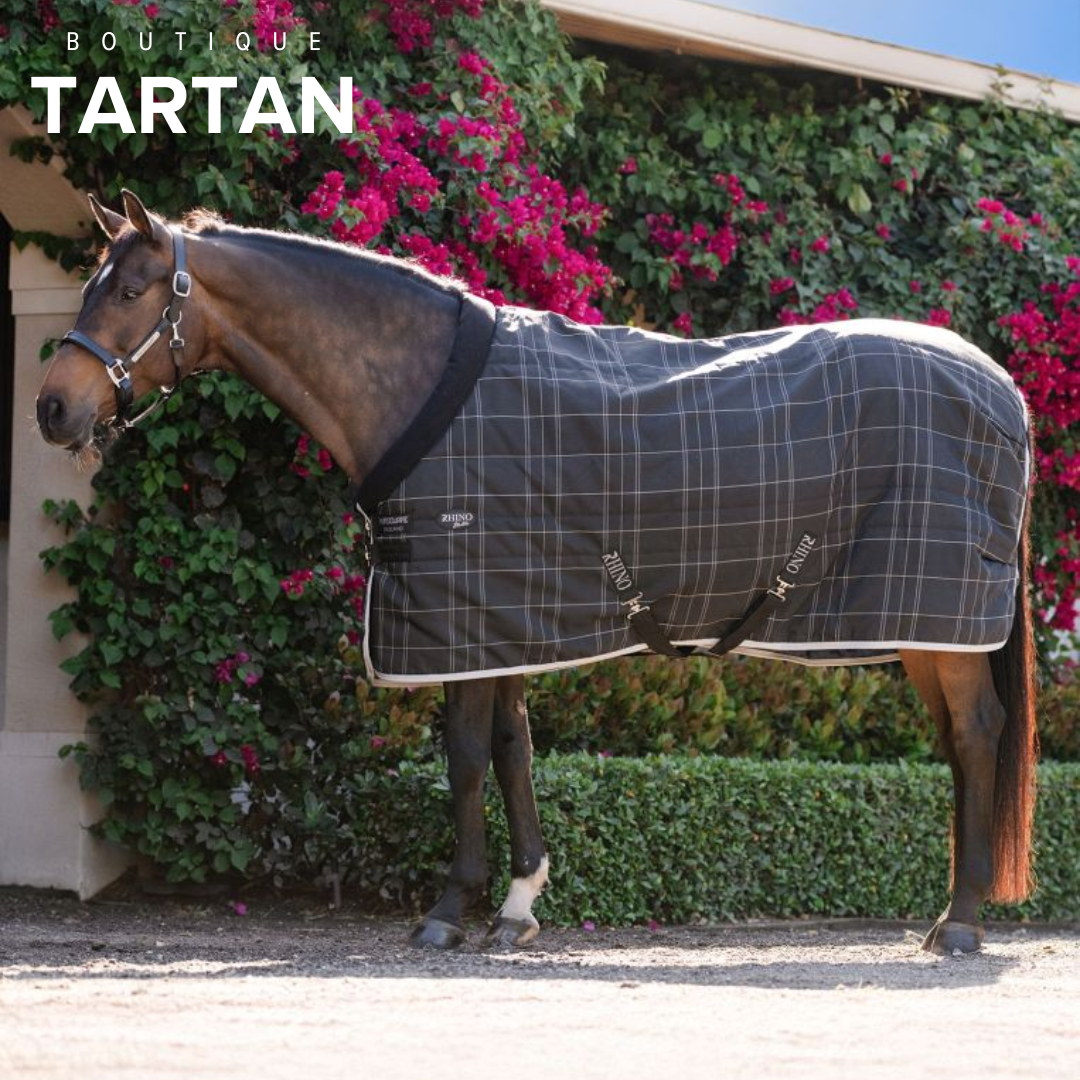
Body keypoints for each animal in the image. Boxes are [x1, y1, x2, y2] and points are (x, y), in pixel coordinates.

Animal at [35, 191, 1037, 955]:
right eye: (88, 287)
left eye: (132, 289)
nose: (52, 408)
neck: (419, 384)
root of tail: (1002, 388)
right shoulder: (499, 618)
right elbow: (512, 748)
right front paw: (518, 904)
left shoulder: (460, 611)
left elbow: (466, 757)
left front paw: (450, 910)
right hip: (925, 628)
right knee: (961, 745)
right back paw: (949, 912)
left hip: (943, 623)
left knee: (981, 734)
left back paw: (960, 923)